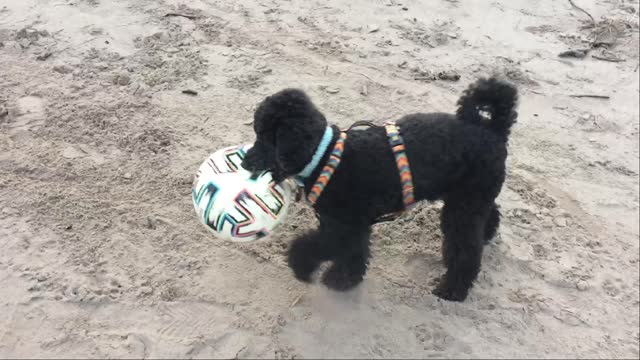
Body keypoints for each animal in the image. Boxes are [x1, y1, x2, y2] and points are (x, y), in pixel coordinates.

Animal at [242, 77, 516, 302]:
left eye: (265, 138)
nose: (245, 163)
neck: (325, 157)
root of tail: (492, 130)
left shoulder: (344, 227)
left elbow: (313, 246)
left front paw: (302, 267)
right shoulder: (353, 226)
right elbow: (354, 256)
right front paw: (343, 280)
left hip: (463, 207)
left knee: (466, 251)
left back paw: (453, 289)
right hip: (469, 197)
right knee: (489, 214)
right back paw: (487, 234)